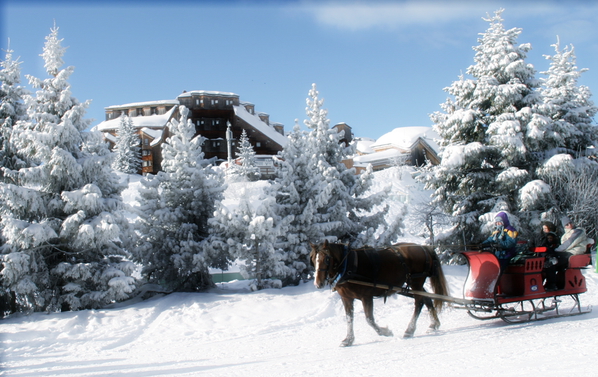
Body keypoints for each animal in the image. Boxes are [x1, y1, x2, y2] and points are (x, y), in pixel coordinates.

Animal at [314, 241, 450, 344]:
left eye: (327, 259)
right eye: (314, 260)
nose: (318, 283)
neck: (348, 266)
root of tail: (424, 248)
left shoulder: (366, 297)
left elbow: (369, 319)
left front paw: (385, 332)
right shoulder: (346, 298)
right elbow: (349, 318)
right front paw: (349, 339)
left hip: (417, 281)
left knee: (419, 303)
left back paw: (410, 330)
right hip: (416, 283)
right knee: (426, 299)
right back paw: (434, 324)